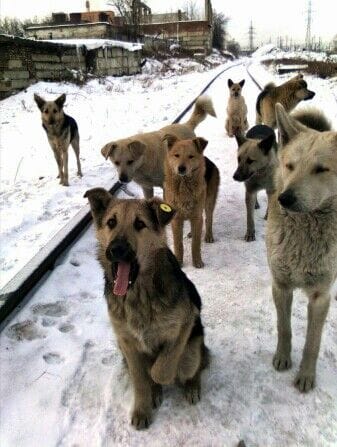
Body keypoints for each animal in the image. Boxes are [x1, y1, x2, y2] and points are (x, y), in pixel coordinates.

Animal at [84, 187, 207, 428]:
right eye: (111, 222)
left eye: (140, 224)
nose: (117, 250)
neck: (138, 295)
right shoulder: (127, 344)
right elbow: (141, 379)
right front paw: (143, 408)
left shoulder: (185, 323)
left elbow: (161, 368)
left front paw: (160, 378)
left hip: (192, 351)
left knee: (197, 366)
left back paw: (192, 386)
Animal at [163, 136, 220, 270]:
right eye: (177, 155)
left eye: (191, 156)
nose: (181, 168)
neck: (184, 186)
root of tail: (207, 159)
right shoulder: (176, 220)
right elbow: (178, 244)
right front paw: (179, 261)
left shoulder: (196, 216)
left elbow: (196, 243)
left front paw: (197, 261)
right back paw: (190, 233)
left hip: (208, 203)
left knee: (208, 219)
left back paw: (208, 235)